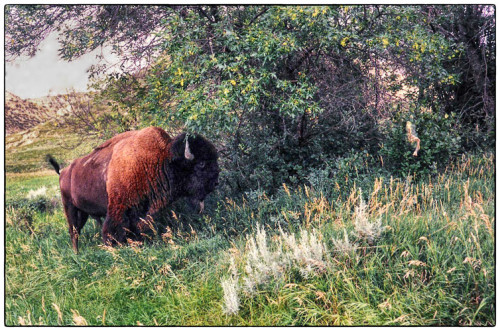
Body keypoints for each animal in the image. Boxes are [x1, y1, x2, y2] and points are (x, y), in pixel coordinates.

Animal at [47, 127, 219, 254]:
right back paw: (76, 253)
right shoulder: (119, 207)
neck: (160, 159)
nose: (215, 183)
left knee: (77, 230)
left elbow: (139, 226)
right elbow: (113, 231)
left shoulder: (143, 210)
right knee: (73, 231)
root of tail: (63, 172)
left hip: (83, 212)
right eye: (202, 163)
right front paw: (115, 248)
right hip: (70, 207)